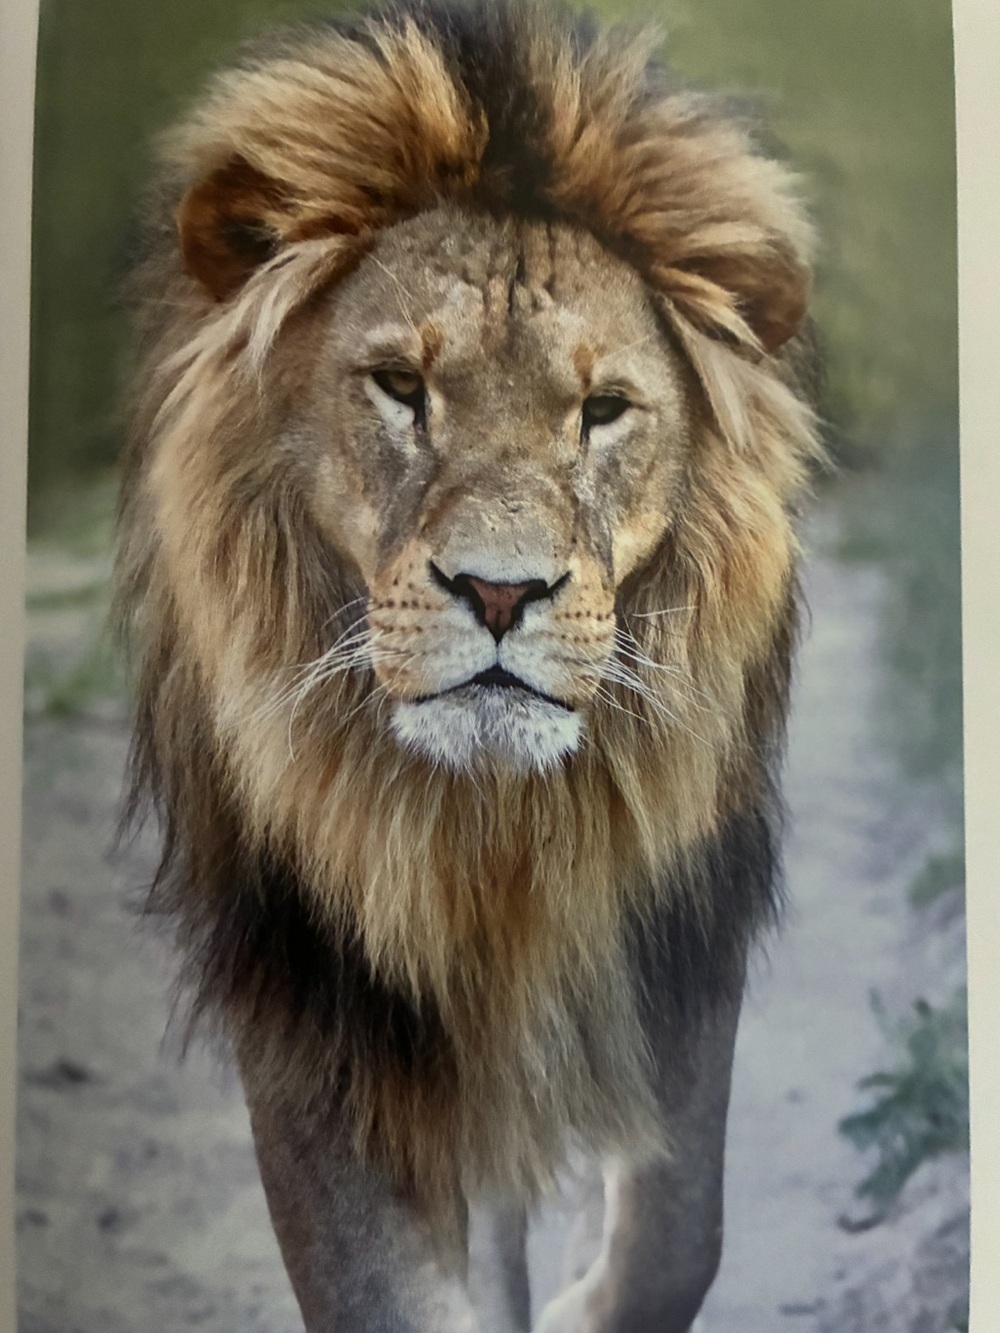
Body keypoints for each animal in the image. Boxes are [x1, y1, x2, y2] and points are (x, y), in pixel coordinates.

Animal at [114, 1, 822, 1329]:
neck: (488, 843)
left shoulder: (672, 949)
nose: (500, 592)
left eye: (603, 410)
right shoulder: (323, 1019)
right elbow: (385, 1288)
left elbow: (676, 1230)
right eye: (400, 387)